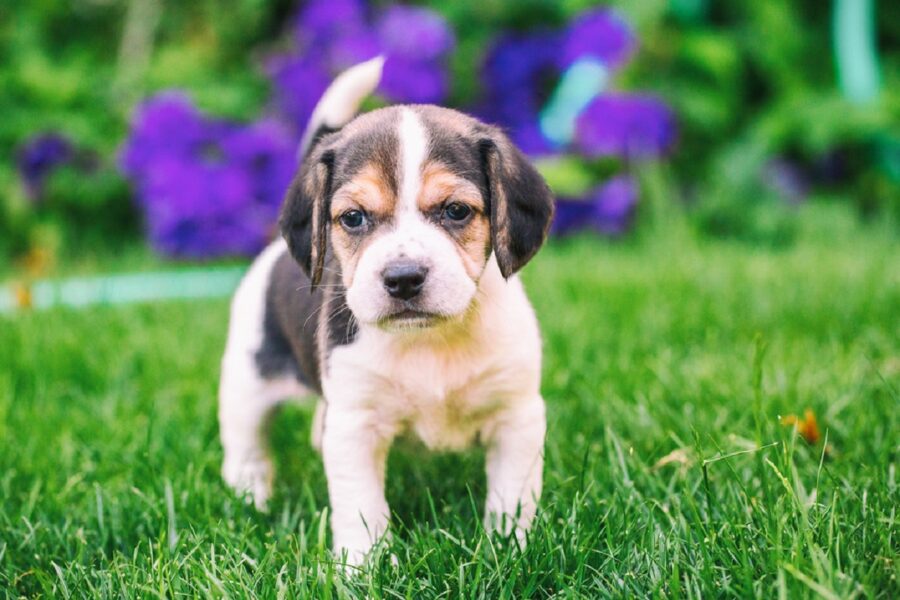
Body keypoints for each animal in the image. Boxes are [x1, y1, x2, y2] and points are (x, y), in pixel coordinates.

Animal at [219, 56, 556, 564]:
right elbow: (361, 506)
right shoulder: (355, 427)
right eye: (353, 218)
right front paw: (362, 567)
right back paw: (251, 497)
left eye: (456, 211)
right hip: (246, 384)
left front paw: (510, 550)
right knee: (246, 449)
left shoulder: (516, 417)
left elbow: (511, 498)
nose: (403, 278)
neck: (428, 339)